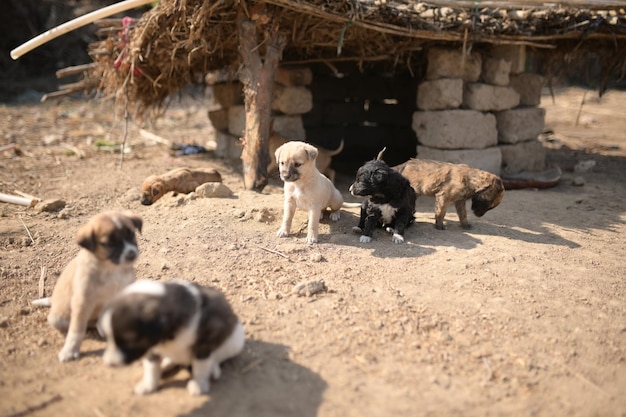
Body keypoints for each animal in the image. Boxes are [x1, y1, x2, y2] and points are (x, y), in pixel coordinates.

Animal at [98, 278, 244, 394]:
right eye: (106, 338)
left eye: (130, 341)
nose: (109, 364)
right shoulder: (151, 348)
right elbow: (151, 367)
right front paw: (148, 385)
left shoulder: (204, 343)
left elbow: (200, 366)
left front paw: (199, 384)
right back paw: (166, 364)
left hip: (236, 341)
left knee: (217, 357)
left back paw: (213, 369)